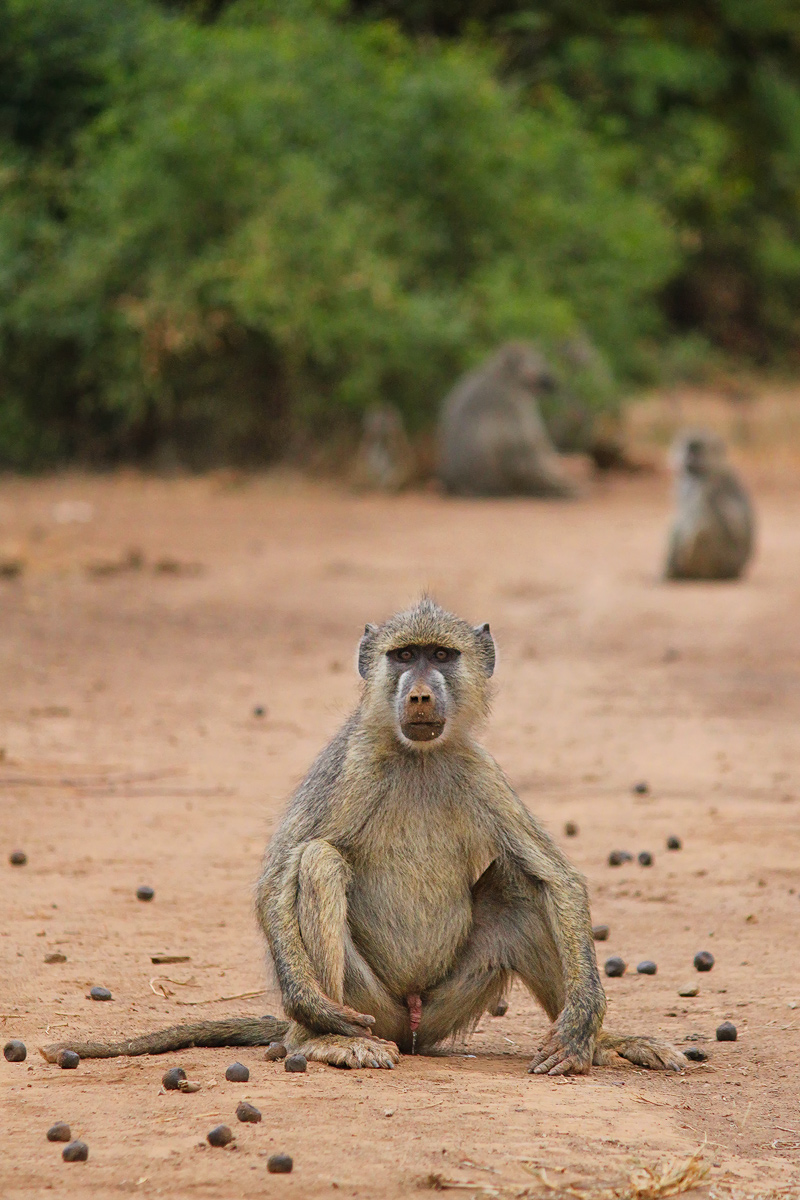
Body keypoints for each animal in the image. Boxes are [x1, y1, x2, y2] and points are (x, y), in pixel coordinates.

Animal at [43, 599, 685, 1076]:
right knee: (319, 863)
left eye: (441, 655)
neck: (416, 756)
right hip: (366, 1004)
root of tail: (410, 1024)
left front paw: (581, 1026)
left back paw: (603, 1046)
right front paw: (307, 1004)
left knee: (518, 887)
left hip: (443, 1006)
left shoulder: (481, 771)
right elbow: (278, 877)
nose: (420, 694)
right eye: (403, 656)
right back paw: (318, 1039)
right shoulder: (346, 765)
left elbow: (556, 879)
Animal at [664, 430, 754, 581]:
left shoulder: (702, 485)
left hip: (716, 561)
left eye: (697, 451)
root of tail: (734, 572)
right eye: (689, 449)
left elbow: (700, 526)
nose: (690, 459)